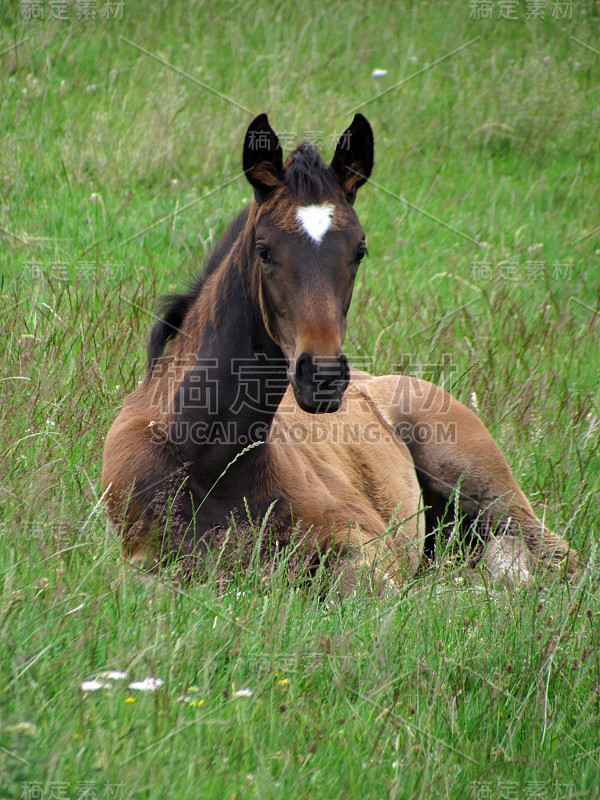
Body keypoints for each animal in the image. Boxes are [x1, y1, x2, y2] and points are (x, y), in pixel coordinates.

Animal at [102, 112, 576, 584]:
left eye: (359, 250)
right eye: (264, 251)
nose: (323, 377)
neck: (207, 457)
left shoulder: (367, 538)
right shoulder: (140, 562)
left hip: (486, 487)